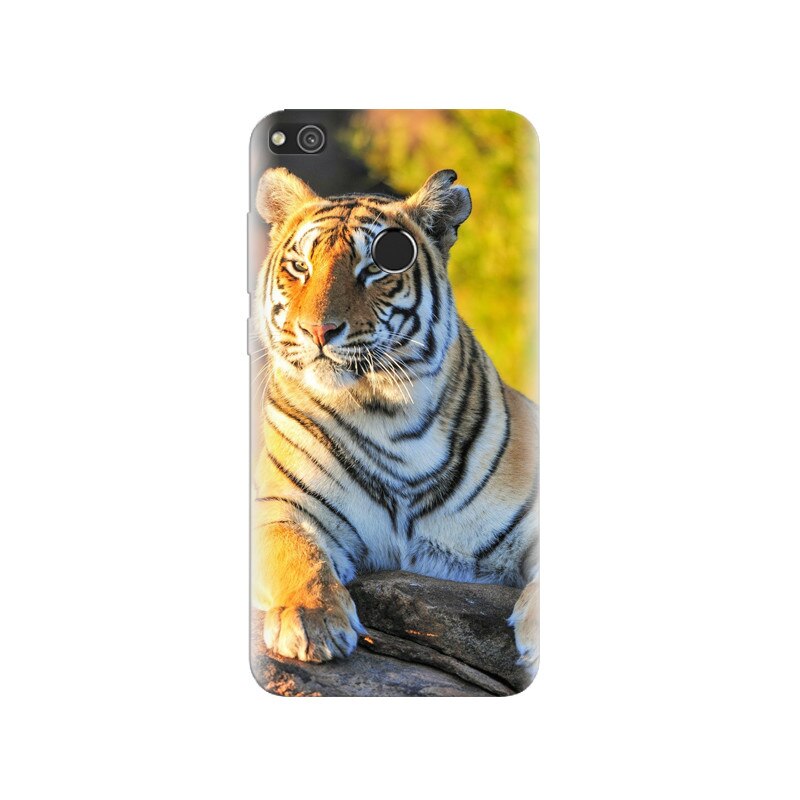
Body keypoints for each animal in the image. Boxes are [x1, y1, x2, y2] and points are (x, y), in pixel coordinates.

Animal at [251, 166, 539, 676]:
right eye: (300, 267)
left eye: (376, 267)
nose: (317, 330)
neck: (386, 415)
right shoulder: (281, 507)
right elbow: (296, 554)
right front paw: (310, 621)